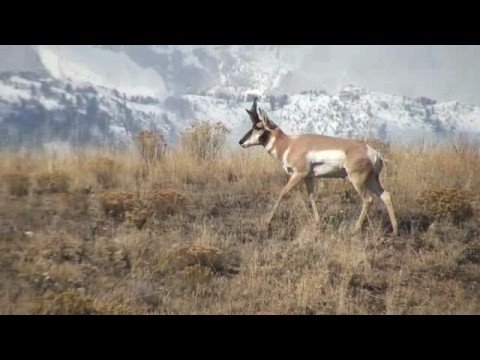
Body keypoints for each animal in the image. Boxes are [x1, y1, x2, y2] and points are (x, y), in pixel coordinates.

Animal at [238, 98, 400, 236]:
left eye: (258, 127)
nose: (241, 142)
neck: (288, 143)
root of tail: (374, 153)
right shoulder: (309, 177)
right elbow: (311, 197)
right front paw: (318, 222)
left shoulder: (299, 174)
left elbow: (283, 192)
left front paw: (267, 221)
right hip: (371, 180)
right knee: (386, 195)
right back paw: (395, 231)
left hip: (357, 180)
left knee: (368, 200)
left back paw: (355, 229)